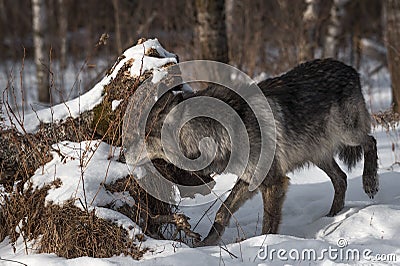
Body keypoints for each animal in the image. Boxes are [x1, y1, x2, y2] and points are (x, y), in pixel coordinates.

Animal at [125, 58, 378, 245]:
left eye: (144, 137)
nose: (123, 153)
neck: (225, 132)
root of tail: (350, 68)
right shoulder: (250, 180)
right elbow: (222, 212)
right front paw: (207, 244)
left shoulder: (274, 182)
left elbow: (268, 224)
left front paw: (263, 245)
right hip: (317, 153)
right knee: (341, 178)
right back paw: (331, 217)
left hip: (346, 134)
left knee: (370, 141)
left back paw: (369, 182)